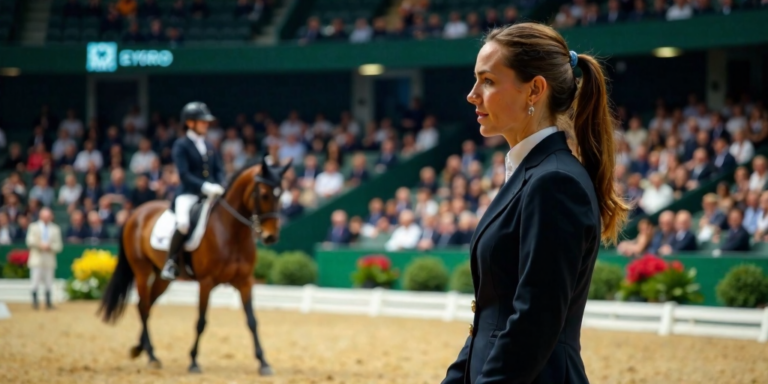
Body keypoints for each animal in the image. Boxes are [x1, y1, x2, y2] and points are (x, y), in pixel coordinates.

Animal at [99, 155, 292, 376]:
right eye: (264, 194)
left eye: (281, 195)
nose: (271, 237)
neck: (231, 232)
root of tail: (136, 212)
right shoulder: (206, 283)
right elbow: (201, 321)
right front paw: (193, 361)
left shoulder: (245, 282)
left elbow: (252, 321)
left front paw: (263, 362)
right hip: (142, 271)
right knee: (143, 306)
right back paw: (152, 356)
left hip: (162, 278)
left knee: (146, 305)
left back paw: (141, 349)